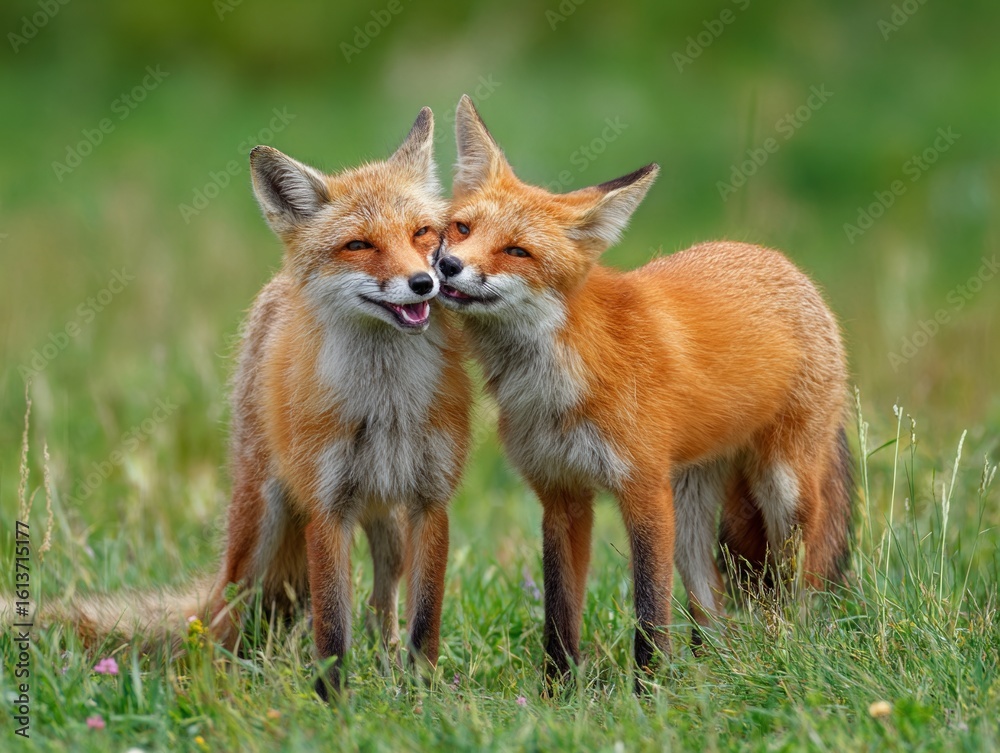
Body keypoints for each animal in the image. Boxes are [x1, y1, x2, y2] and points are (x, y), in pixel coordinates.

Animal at [42, 108, 471, 699]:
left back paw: (384, 661)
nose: (424, 282)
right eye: (359, 245)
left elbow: (423, 618)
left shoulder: (431, 501)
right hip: (258, 527)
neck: (385, 400)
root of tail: (276, 287)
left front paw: (423, 694)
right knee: (222, 615)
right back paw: (215, 684)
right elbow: (331, 629)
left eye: (422, 233)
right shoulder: (326, 507)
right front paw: (333, 705)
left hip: (385, 520)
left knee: (381, 601)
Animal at [434, 95, 852, 687]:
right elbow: (559, 615)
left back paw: (780, 654)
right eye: (461, 228)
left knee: (790, 587)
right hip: (693, 512)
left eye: (517, 252)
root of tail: (779, 261)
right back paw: (716, 671)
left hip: (783, 490)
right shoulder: (561, 495)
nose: (448, 265)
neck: (558, 381)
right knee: (710, 602)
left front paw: (649, 691)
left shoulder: (644, 491)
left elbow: (650, 612)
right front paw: (557, 694)